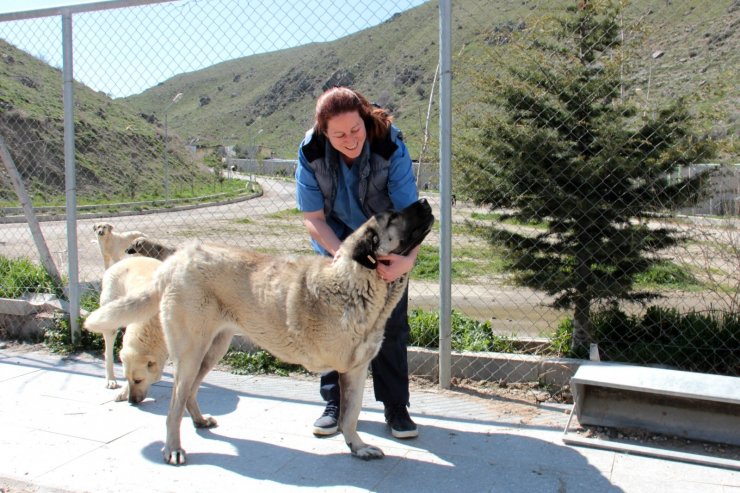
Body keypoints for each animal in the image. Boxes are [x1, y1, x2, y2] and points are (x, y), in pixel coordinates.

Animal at [84, 256, 168, 402]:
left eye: (138, 380)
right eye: (126, 378)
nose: (131, 401)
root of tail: (125, 260)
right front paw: (123, 392)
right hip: (111, 322)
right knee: (108, 353)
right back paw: (110, 380)